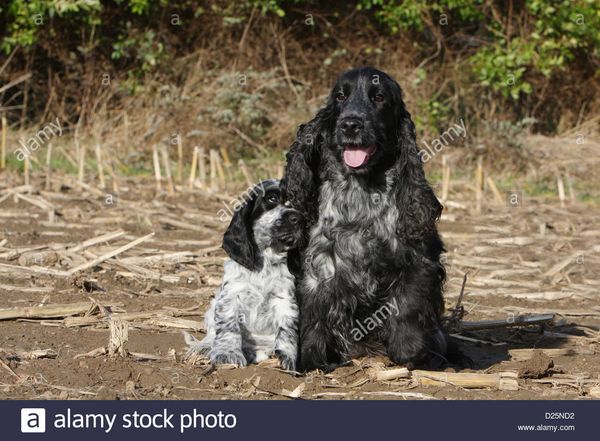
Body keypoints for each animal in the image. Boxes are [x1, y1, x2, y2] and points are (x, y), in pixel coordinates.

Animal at [184, 180, 304, 372]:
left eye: (298, 205)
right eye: (272, 198)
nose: (297, 218)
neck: (266, 260)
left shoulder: (285, 299)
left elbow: (287, 330)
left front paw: (288, 359)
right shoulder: (231, 295)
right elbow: (228, 327)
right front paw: (227, 354)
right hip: (212, 307)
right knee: (212, 332)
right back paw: (204, 346)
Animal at [282, 66, 446, 372]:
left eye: (379, 97)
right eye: (340, 96)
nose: (350, 124)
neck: (361, 190)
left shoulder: (418, 260)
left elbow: (406, 305)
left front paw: (410, 351)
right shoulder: (316, 269)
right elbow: (312, 317)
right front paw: (308, 360)